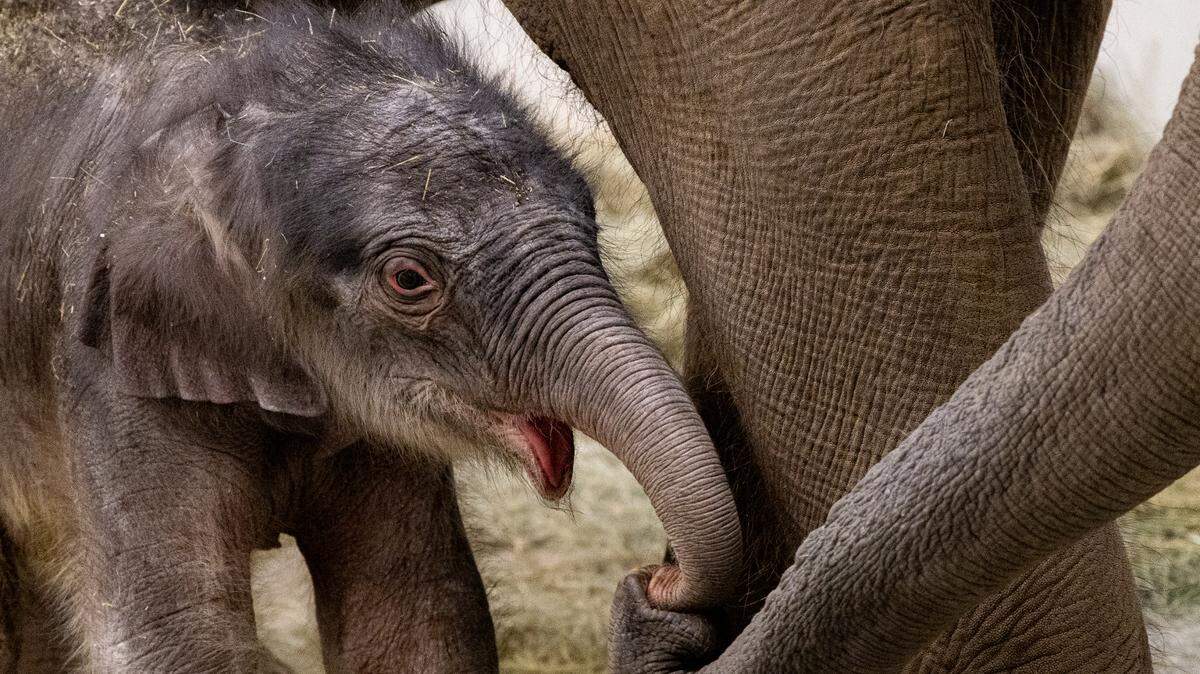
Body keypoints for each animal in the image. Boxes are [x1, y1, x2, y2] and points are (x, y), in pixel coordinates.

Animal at [0, 3, 742, 670]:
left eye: (590, 213)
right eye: (409, 279)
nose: (656, 579)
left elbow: (419, 614)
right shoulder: (106, 366)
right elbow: (180, 638)